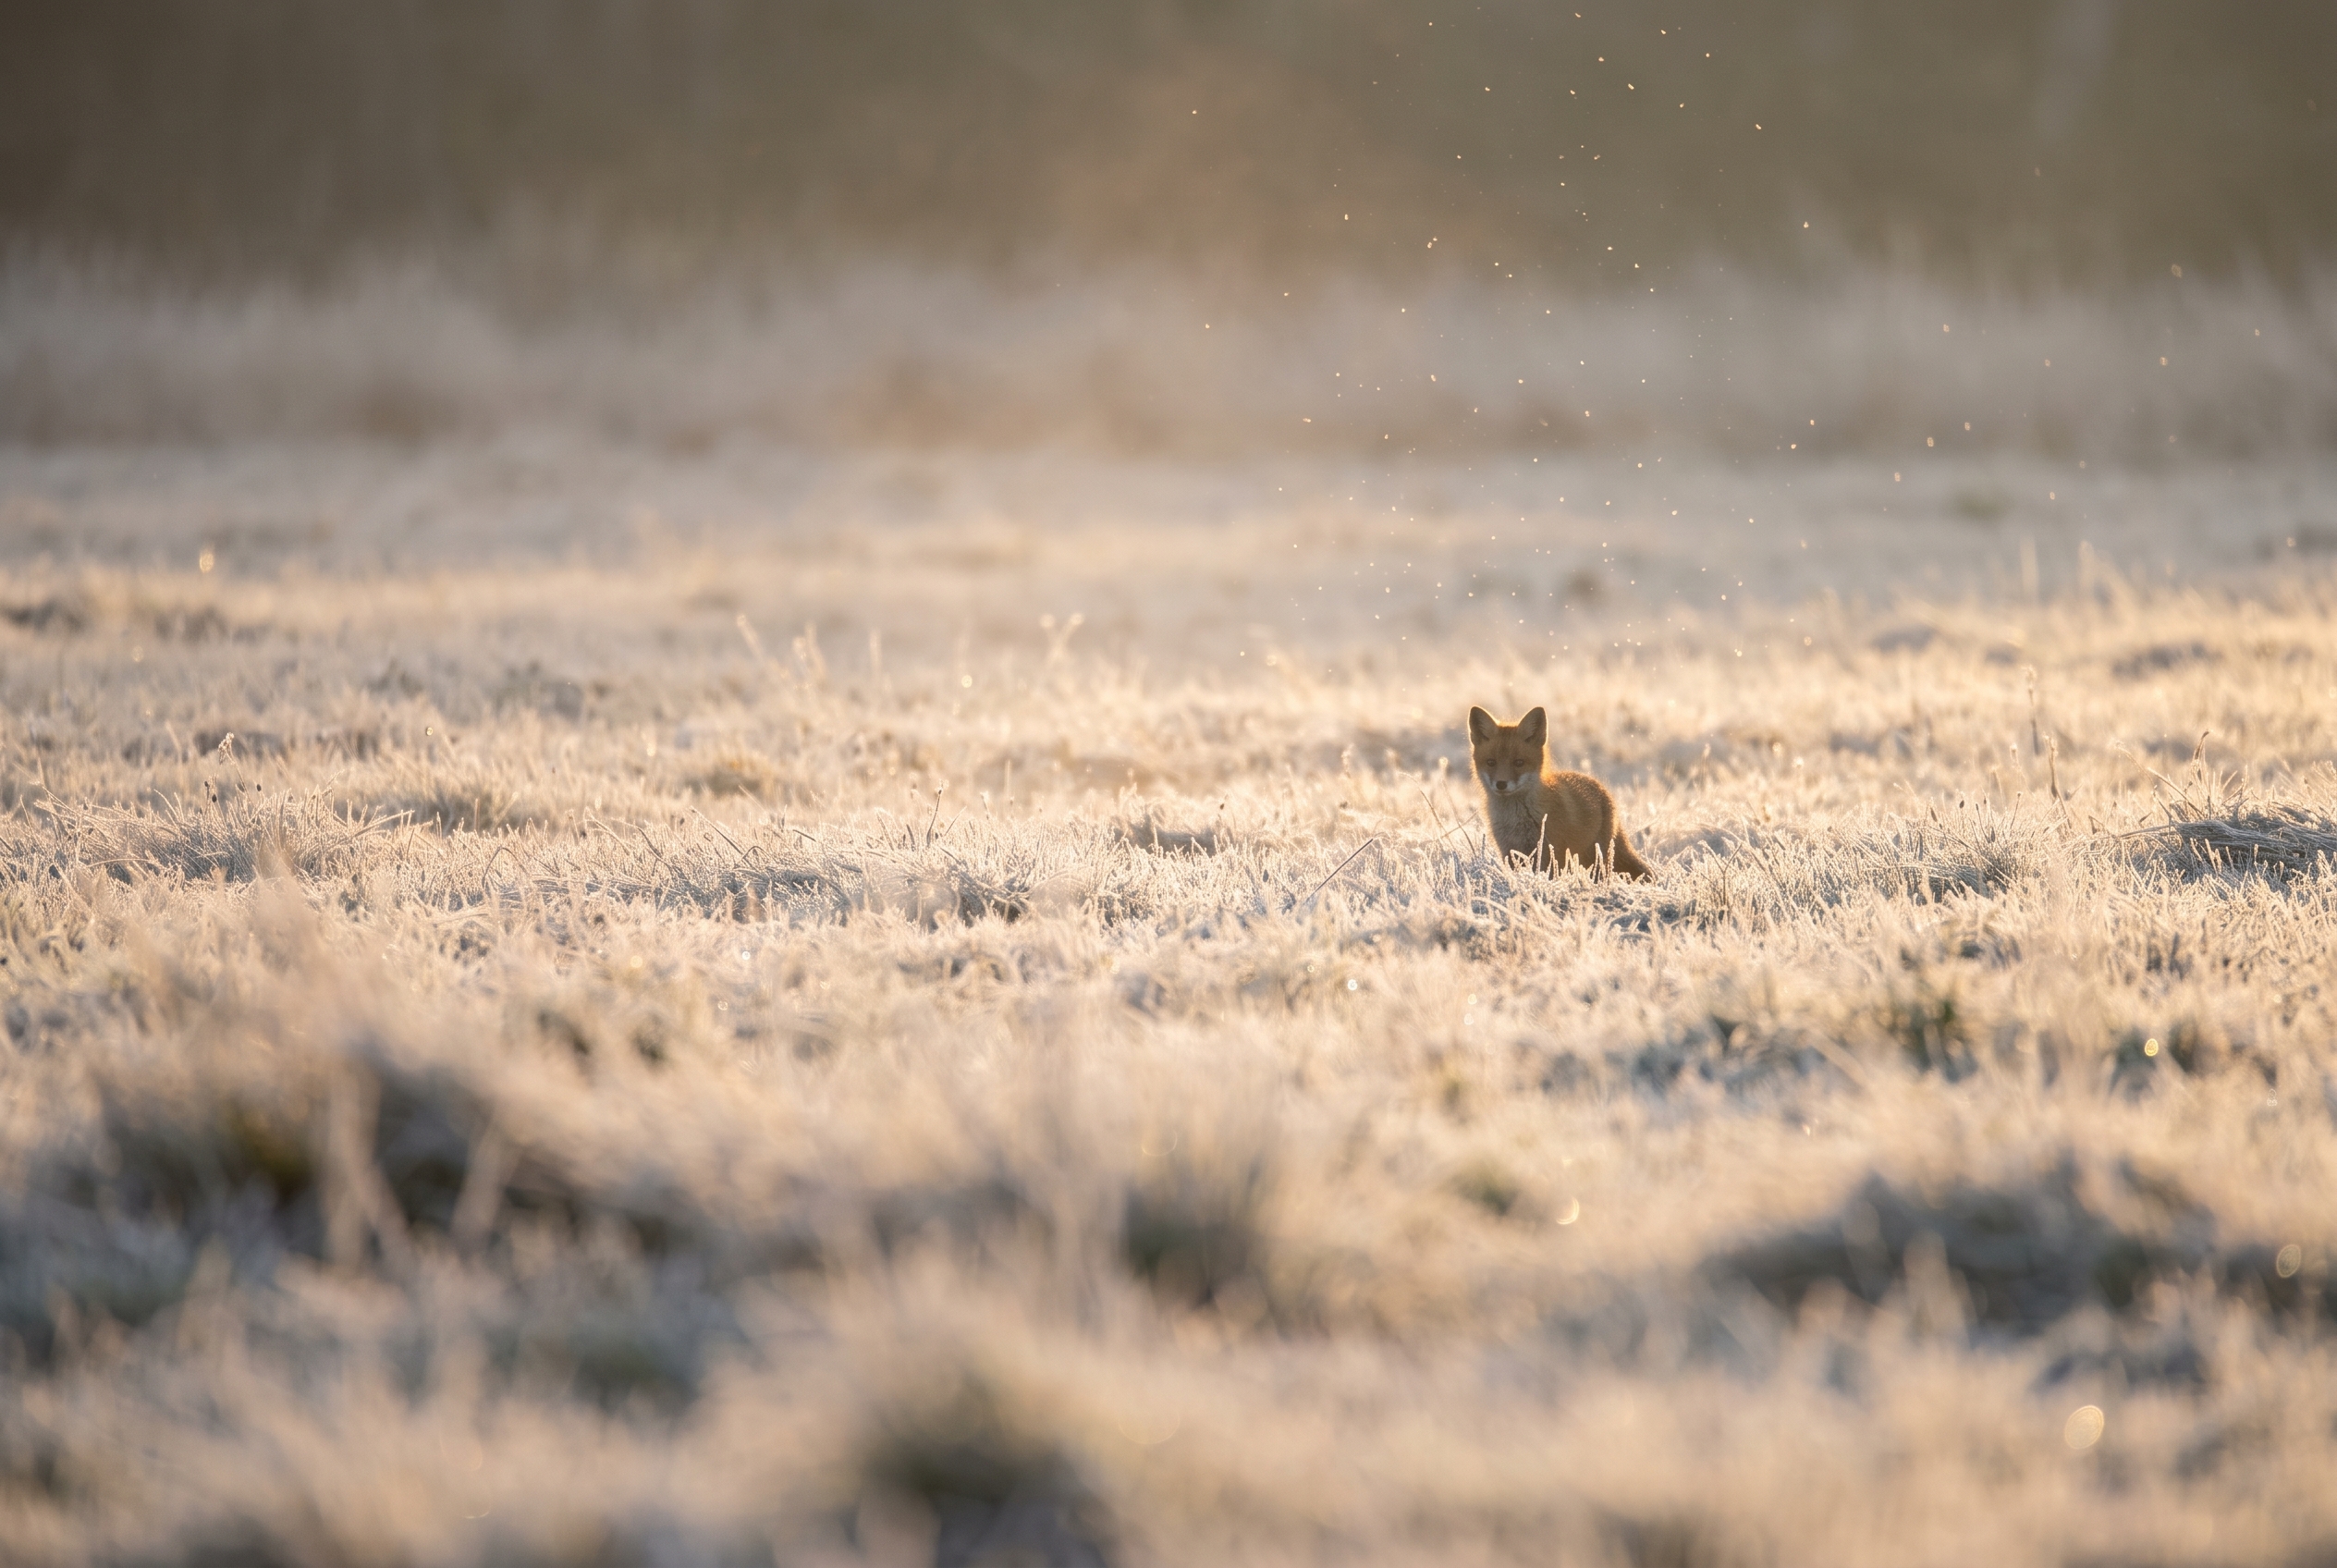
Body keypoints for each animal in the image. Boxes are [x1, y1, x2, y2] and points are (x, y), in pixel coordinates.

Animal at [1466, 705, 1652, 879]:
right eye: (1491, 762)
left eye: (1519, 762)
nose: (1501, 784)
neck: (1517, 819)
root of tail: (1600, 786)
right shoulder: (1510, 850)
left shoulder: (1554, 852)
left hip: (1595, 857)